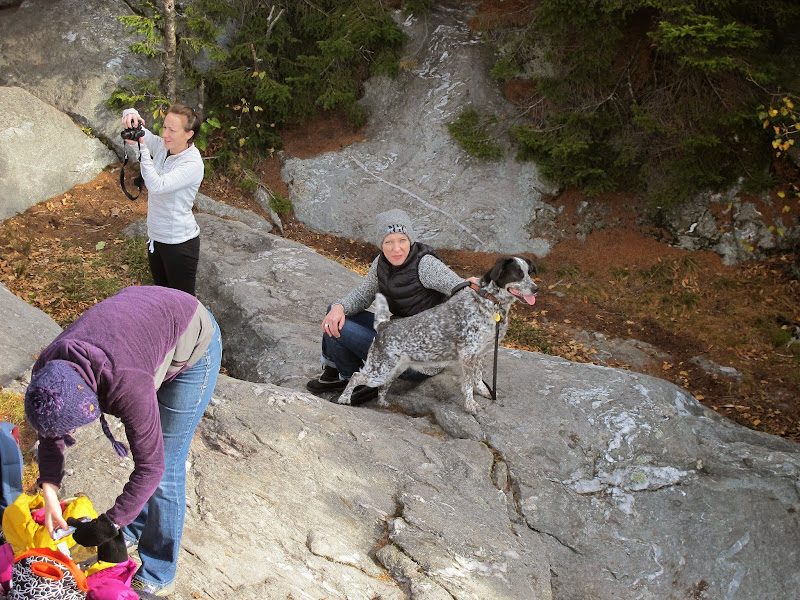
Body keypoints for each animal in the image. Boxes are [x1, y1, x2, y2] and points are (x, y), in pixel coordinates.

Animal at [338, 255, 536, 414]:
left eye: (529, 273)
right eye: (517, 273)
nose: (536, 289)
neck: (489, 302)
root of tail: (384, 325)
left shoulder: (481, 353)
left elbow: (478, 377)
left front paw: (484, 391)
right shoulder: (468, 355)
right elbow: (468, 385)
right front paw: (470, 406)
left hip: (393, 370)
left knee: (382, 387)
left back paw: (383, 403)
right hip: (379, 371)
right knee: (356, 376)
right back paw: (344, 399)